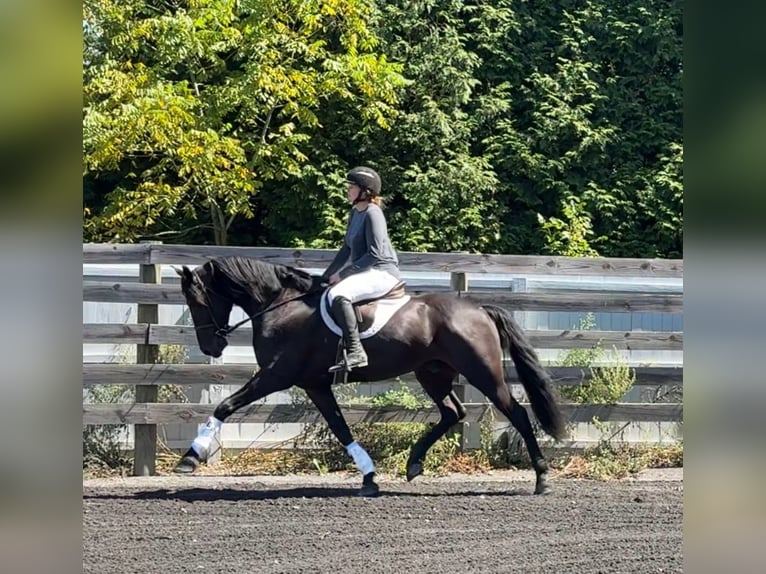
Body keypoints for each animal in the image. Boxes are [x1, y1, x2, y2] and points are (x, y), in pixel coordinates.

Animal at [172, 256, 566, 496]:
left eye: (197, 301)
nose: (210, 347)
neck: (281, 307)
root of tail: (479, 309)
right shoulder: (314, 384)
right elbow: (340, 427)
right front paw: (369, 477)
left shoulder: (276, 376)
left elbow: (225, 406)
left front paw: (188, 460)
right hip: (432, 373)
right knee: (453, 412)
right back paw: (414, 463)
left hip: (482, 372)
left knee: (517, 413)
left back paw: (542, 478)